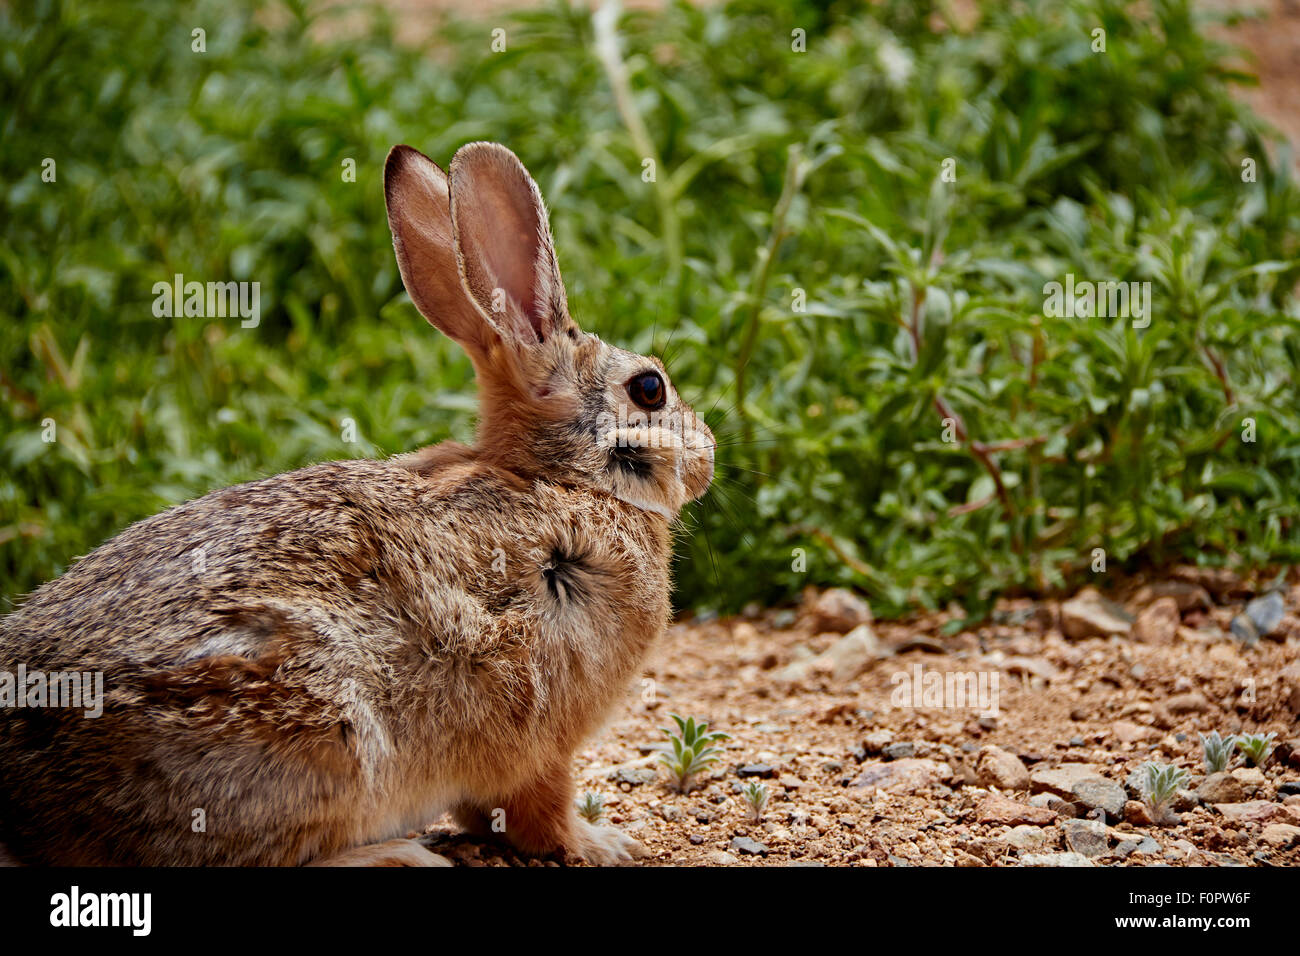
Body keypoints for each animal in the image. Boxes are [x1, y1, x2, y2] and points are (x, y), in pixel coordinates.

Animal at [0, 141, 717, 868]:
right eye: (650, 388)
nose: (708, 457)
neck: (564, 482)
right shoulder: (540, 739)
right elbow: (538, 813)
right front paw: (603, 843)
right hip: (312, 726)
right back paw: (395, 854)